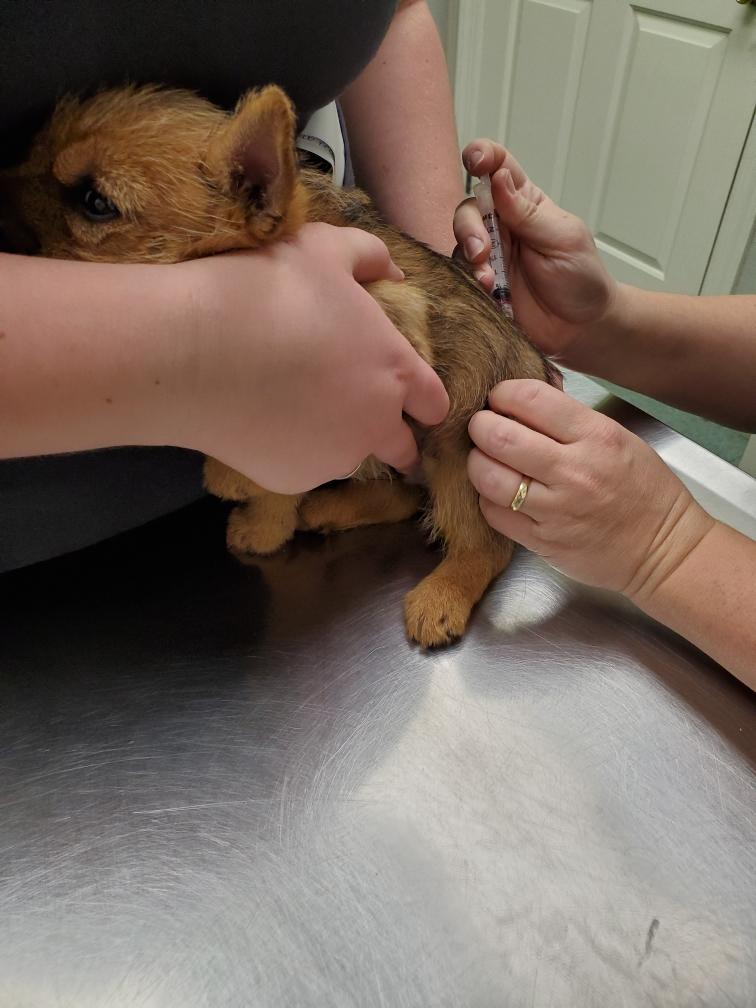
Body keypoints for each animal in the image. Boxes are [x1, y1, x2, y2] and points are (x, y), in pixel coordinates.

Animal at [0, 84, 553, 647]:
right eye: (35, 150)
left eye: (95, 203)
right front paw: (264, 523)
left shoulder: (388, 328)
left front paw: (240, 489)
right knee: (403, 497)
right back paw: (330, 508)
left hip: (458, 451)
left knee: (484, 543)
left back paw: (442, 596)